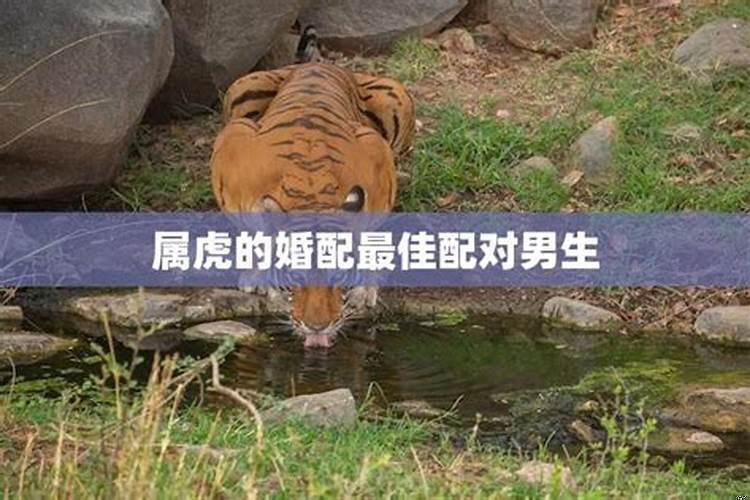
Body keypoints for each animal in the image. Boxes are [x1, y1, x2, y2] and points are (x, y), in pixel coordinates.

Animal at [210, 35, 416, 348]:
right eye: (295, 277)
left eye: (338, 277)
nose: (317, 328)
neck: (311, 194)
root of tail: (321, 65)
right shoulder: (233, 141)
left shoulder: (376, 151)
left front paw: (364, 291)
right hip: (240, 89)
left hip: (396, 95)